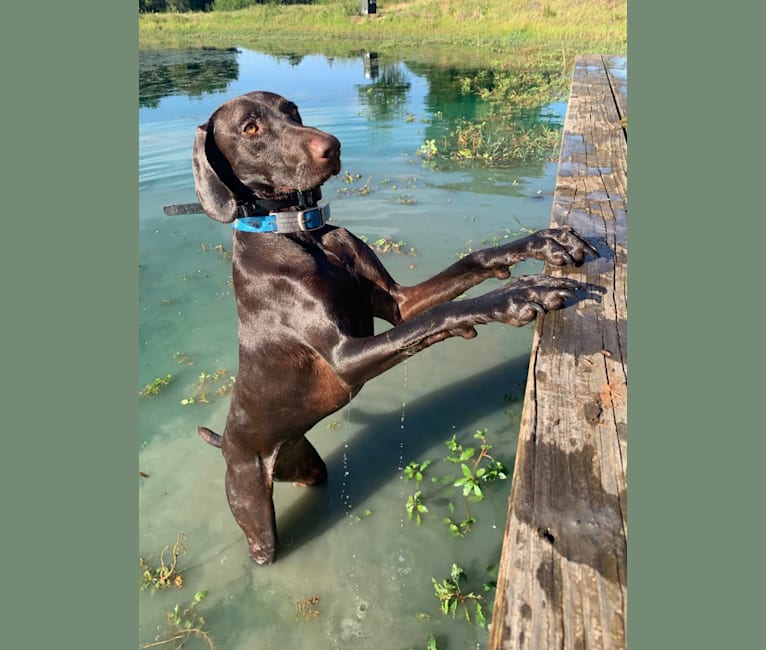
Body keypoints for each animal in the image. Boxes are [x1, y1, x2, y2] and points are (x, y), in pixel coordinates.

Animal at [176, 91, 600, 560]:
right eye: (250, 128)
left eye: (292, 110)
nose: (332, 146)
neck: (299, 233)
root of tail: (227, 442)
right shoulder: (345, 358)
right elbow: (438, 316)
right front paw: (518, 295)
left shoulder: (400, 303)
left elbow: (469, 266)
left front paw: (543, 242)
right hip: (252, 509)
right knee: (261, 545)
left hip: (307, 465)